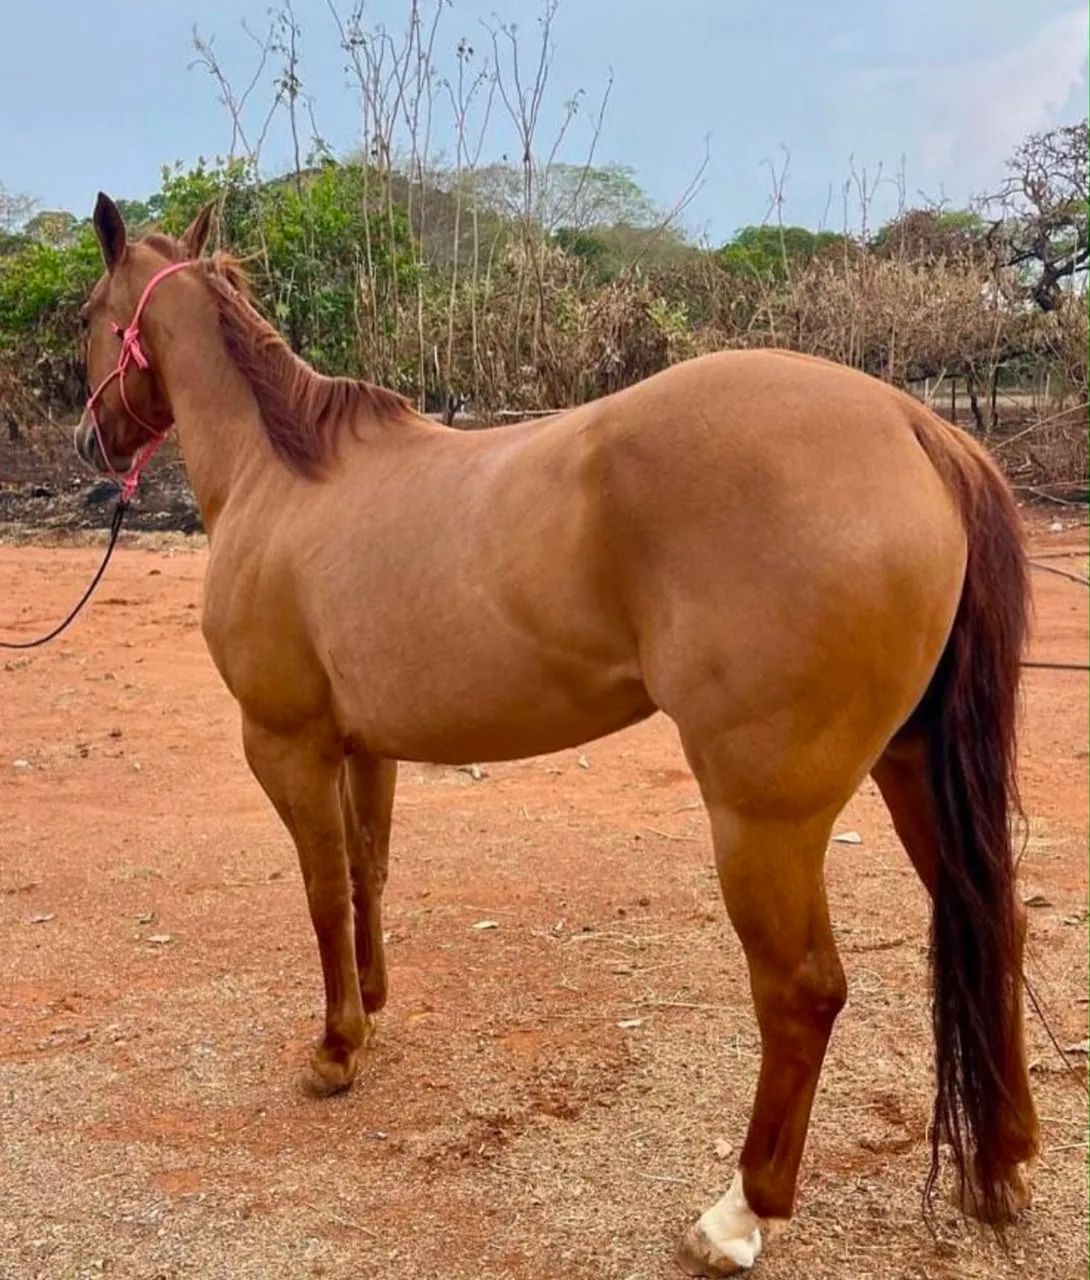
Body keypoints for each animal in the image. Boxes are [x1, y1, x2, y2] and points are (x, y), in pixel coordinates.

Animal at [73, 193, 1038, 1276]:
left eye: (88, 317)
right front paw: (374, 1007)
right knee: (992, 924)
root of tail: (914, 425)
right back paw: (999, 1169)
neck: (282, 481)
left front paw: (334, 1049)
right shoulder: (364, 746)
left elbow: (322, 893)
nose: (90, 444)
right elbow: (368, 873)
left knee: (803, 991)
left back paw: (738, 1214)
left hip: (767, 817)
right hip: (912, 768)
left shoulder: (286, 744)